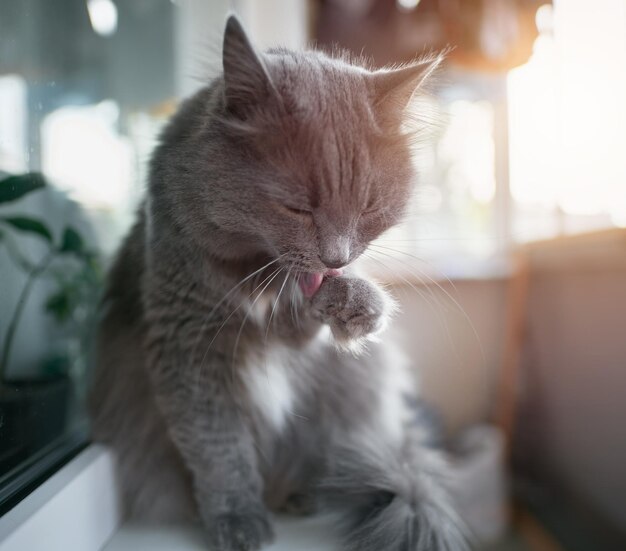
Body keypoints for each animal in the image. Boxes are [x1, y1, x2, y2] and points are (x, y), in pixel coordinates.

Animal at [90, 16, 466, 551]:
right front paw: (237, 522)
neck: (258, 272)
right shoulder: (187, 348)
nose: (336, 256)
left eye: (369, 208)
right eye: (297, 208)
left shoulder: (293, 340)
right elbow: (220, 451)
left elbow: (325, 316)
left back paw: (307, 494)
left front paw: (355, 304)